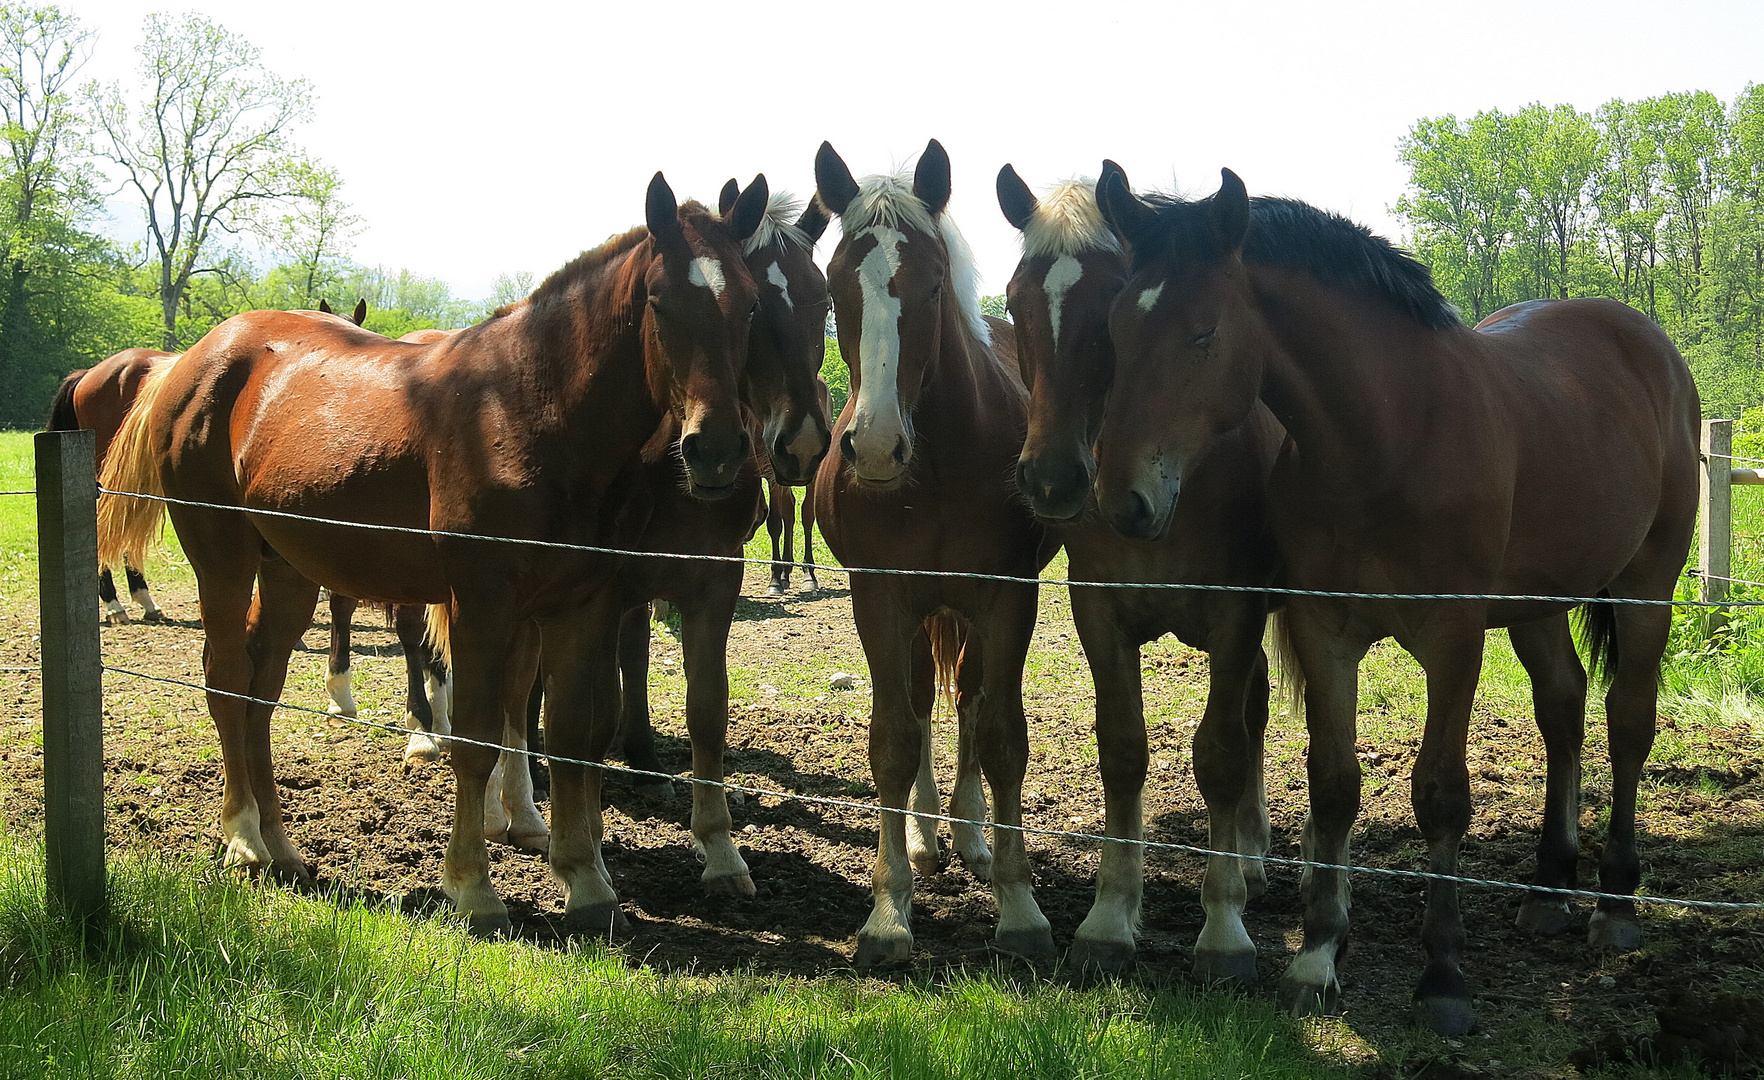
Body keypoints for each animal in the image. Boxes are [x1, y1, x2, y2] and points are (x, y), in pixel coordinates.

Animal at [100, 172, 776, 931]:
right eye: (659, 300)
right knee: (223, 679)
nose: (715, 450)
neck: (527, 412)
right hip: (223, 557)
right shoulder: (482, 604)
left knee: (260, 690)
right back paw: (243, 838)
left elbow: (572, 736)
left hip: (288, 573)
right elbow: (477, 736)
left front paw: (587, 884)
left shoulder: (581, 606)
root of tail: (191, 360)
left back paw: (281, 847)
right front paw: (473, 888)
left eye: (750, 303)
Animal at [814, 139, 1058, 967]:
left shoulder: (1008, 595)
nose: (875, 446)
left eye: (930, 283)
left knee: (969, 702)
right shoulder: (881, 596)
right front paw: (890, 913)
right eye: (834, 288)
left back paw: (971, 834)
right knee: (923, 702)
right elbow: (894, 736)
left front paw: (1019, 906)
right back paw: (925, 837)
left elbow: (1002, 734)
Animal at [994, 162, 1284, 981]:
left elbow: (1220, 754)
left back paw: (1249, 859)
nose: (1053, 479)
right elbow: (1122, 750)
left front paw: (1223, 928)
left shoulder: (1238, 610)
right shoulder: (1100, 608)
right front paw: (1109, 918)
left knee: (1251, 715)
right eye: (1016, 302)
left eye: (1107, 307)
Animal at [1100, 171, 1693, 1037]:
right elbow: (1334, 783)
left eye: (1202, 332)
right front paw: (1316, 959)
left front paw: (1443, 977)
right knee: (1564, 708)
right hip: (1540, 604)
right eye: (1114, 326)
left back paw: (1614, 901)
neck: (1387, 436)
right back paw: (1549, 887)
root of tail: (1647, 344)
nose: (1122, 500)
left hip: (1648, 590)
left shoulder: (1452, 637)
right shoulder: (1326, 630)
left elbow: (1440, 795)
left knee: (1628, 724)